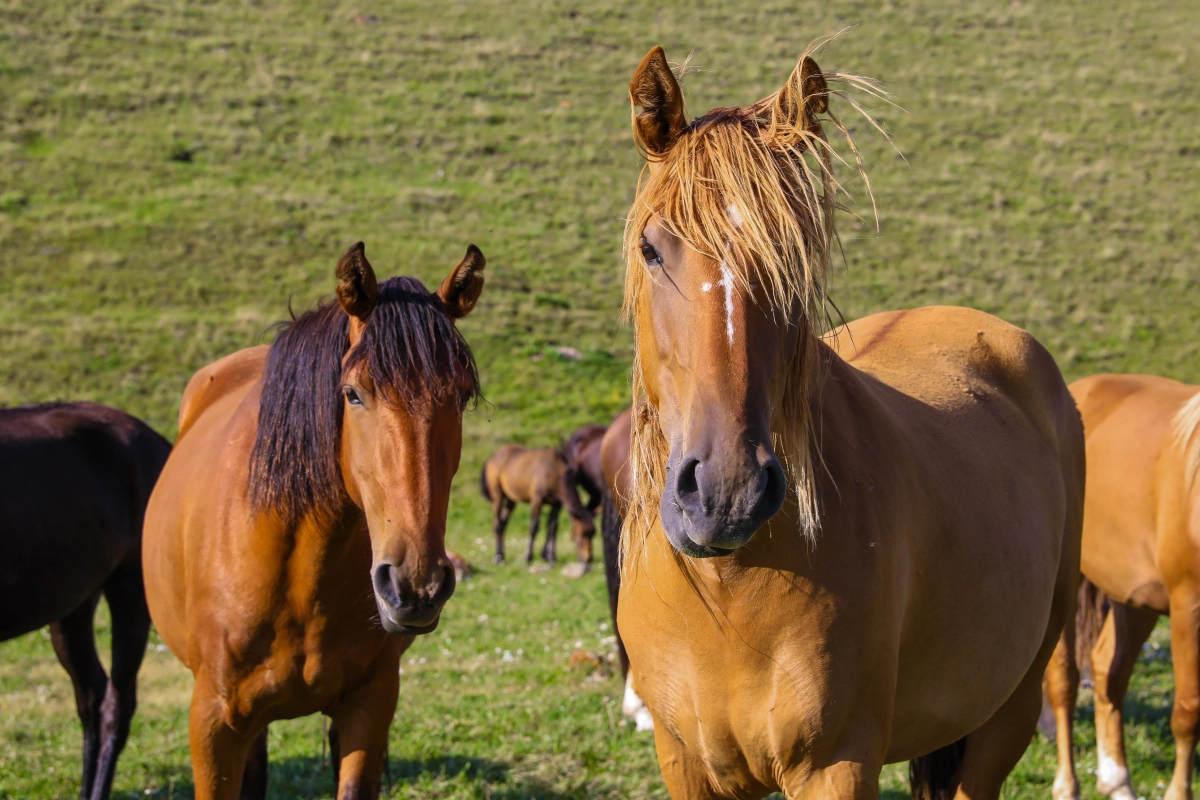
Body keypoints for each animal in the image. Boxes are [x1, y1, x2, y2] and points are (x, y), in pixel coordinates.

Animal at [619, 45, 1089, 800]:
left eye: (793, 256)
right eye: (651, 249)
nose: (725, 493)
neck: (728, 592)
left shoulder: (836, 764)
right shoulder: (686, 764)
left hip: (1006, 717)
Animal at [1041, 376, 1200, 800]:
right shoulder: (1187, 605)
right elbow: (1188, 711)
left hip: (1135, 598)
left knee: (1108, 670)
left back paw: (1117, 780)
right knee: (1064, 679)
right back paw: (1067, 785)